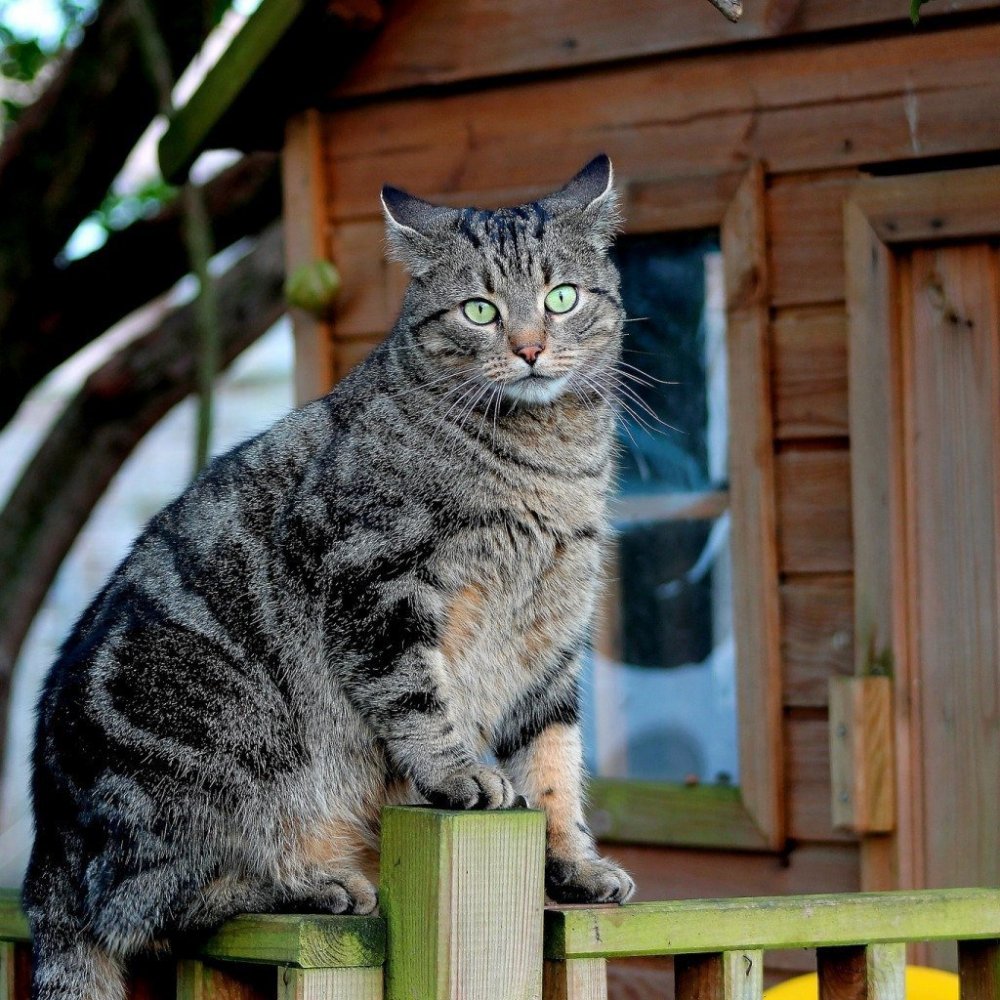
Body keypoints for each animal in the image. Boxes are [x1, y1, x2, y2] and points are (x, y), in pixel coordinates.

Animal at [23, 152, 636, 996]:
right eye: (480, 311)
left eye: (562, 298)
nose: (531, 347)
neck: (548, 460)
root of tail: (43, 842)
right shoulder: (379, 582)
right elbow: (418, 698)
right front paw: (458, 773)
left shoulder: (553, 634)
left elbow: (553, 760)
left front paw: (573, 863)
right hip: (225, 737)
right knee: (148, 904)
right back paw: (310, 883)